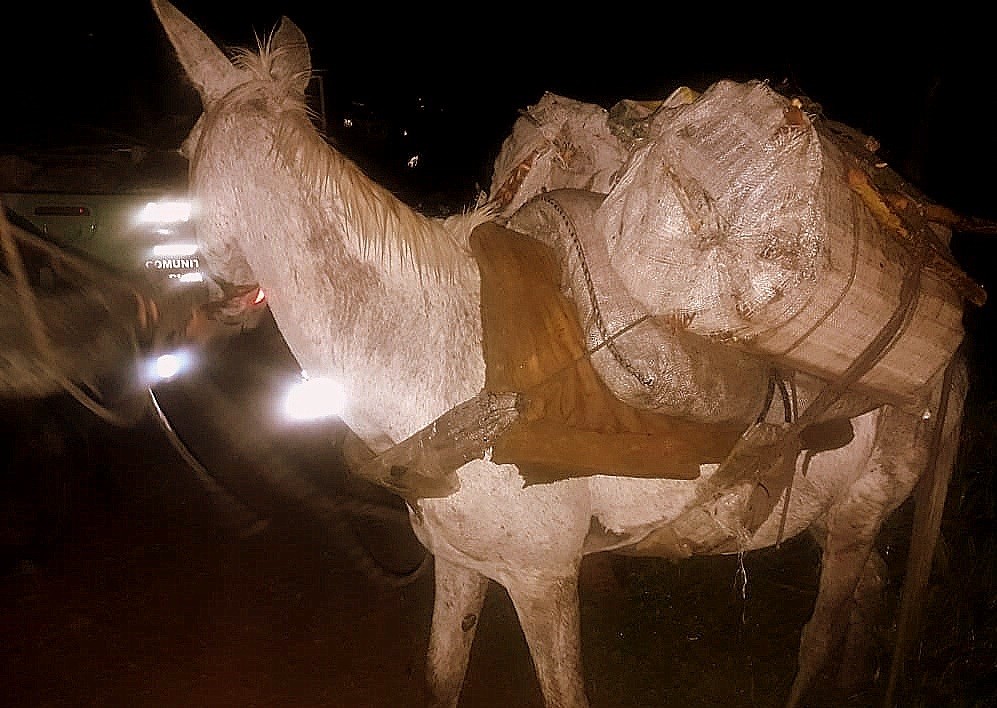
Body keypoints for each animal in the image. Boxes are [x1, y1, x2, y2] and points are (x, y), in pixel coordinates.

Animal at [152, 2, 968, 704]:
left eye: (183, 151)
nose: (188, 313)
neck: (430, 359)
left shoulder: (542, 580)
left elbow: (563, 692)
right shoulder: (460, 565)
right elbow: (440, 679)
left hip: (858, 517)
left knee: (820, 641)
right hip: (838, 519)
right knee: (866, 607)